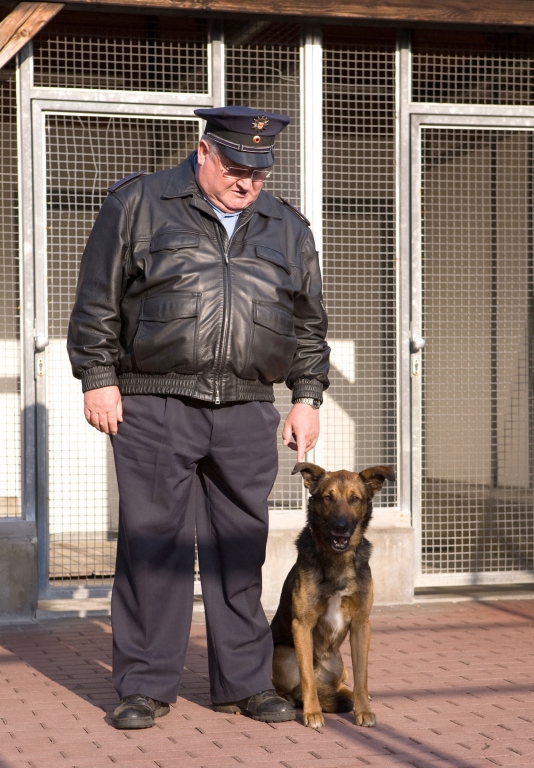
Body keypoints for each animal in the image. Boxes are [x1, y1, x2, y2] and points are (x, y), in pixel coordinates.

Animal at [272, 462, 398, 732]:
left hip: (339, 665)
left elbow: (362, 675)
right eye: (328, 498)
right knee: (295, 685)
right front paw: (312, 713)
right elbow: (307, 678)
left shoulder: (362, 624)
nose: (340, 526)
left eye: (355, 499)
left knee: (344, 684)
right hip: (284, 654)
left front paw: (363, 710)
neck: (337, 558)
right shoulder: (302, 624)